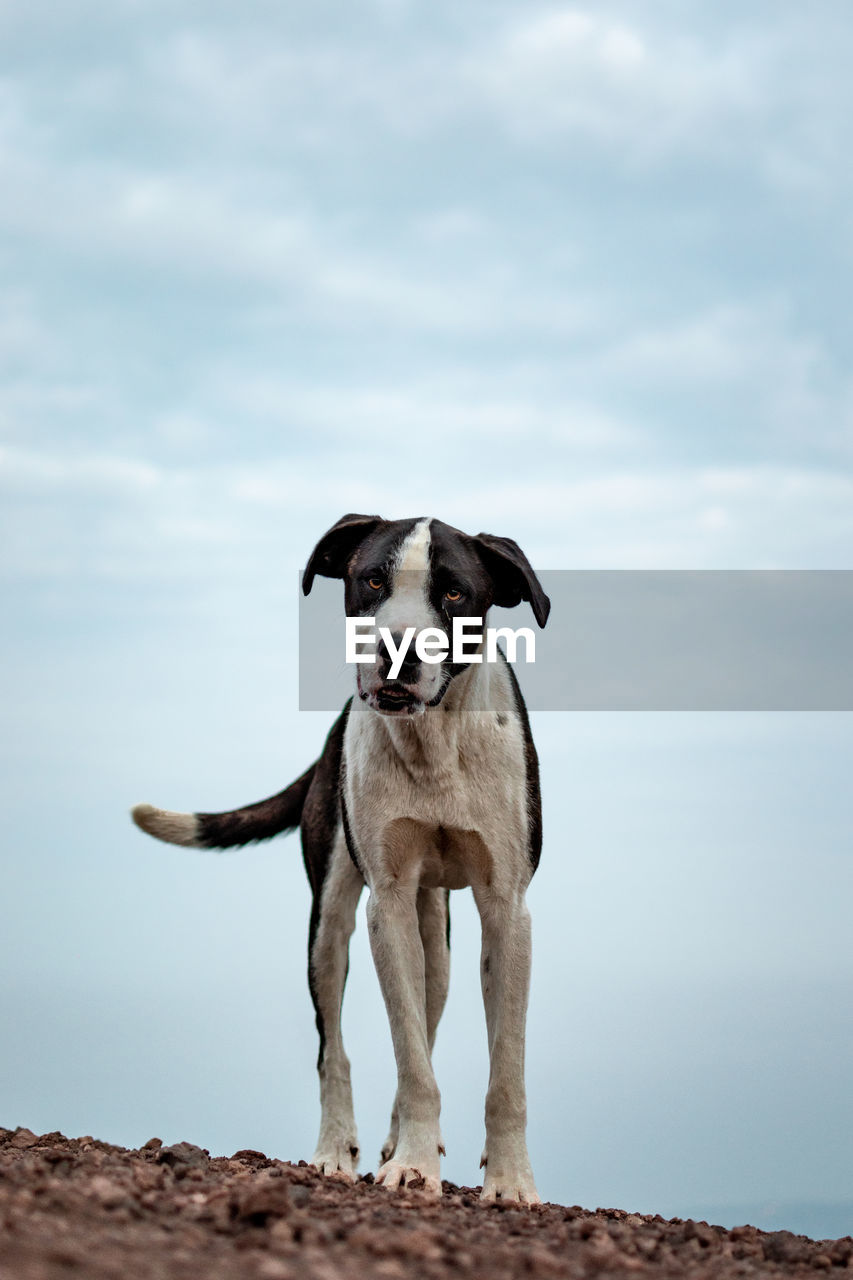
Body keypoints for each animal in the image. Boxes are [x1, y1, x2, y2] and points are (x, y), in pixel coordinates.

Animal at [129, 509, 548, 1198]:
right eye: (372, 580)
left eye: (454, 592)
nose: (397, 650)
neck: (435, 742)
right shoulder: (387, 904)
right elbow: (408, 1058)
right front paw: (414, 1168)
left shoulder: (506, 908)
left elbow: (505, 1070)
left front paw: (510, 1183)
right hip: (329, 923)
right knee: (335, 1047)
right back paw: (336, 1151)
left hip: (437, 936)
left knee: (429, 1015)